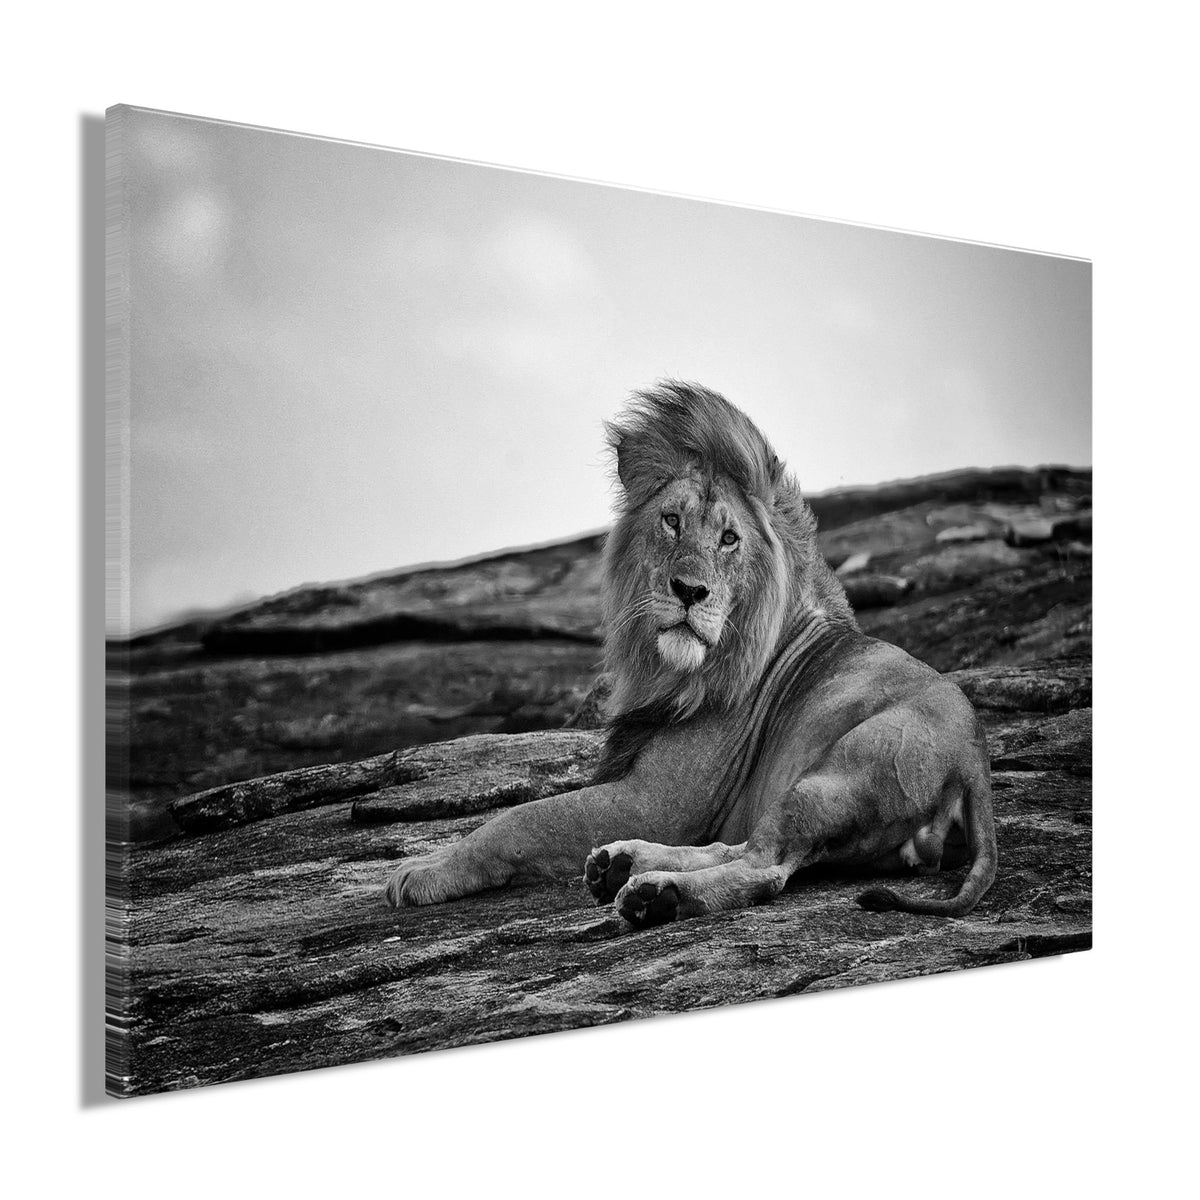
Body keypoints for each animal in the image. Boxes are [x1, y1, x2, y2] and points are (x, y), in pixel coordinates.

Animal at [385, 381, 996, 927]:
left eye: (729, 539)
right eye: (671, 521)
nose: (689, 591)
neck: (668, 672)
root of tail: (974, 763)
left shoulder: (658, 801)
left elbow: (518, 819)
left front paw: (422, 870)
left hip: (835, 776)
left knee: (763, 867)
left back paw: (657, 895)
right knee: (741, 845)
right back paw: (624, 863)